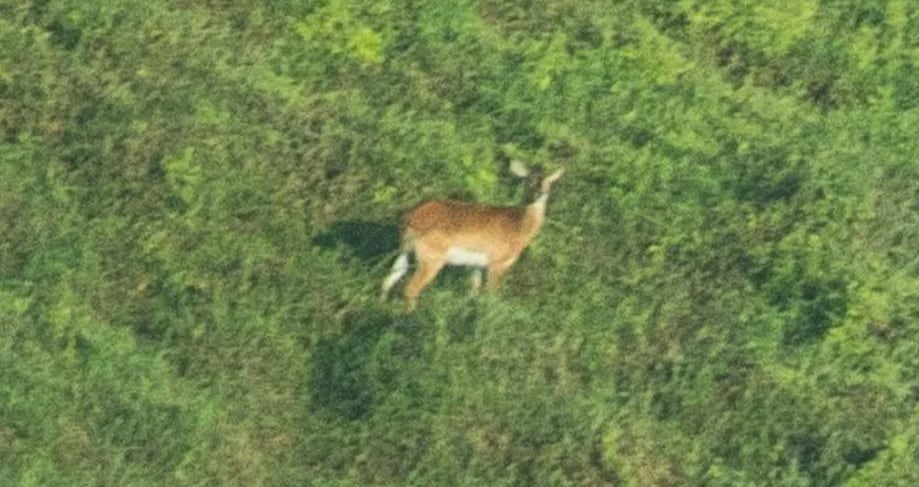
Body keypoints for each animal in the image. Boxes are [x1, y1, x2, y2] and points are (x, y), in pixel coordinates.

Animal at [381, 167, 564, 310]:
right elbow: (491, 296)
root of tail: (410, 217)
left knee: (388, 281)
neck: (519, 226)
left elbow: (473, 293)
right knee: (410, 288)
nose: (538, 194)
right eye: (529, 181)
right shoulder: (497, 264)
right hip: (431, 259)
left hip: (405, 252)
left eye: (548, 183)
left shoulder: (476, 266)